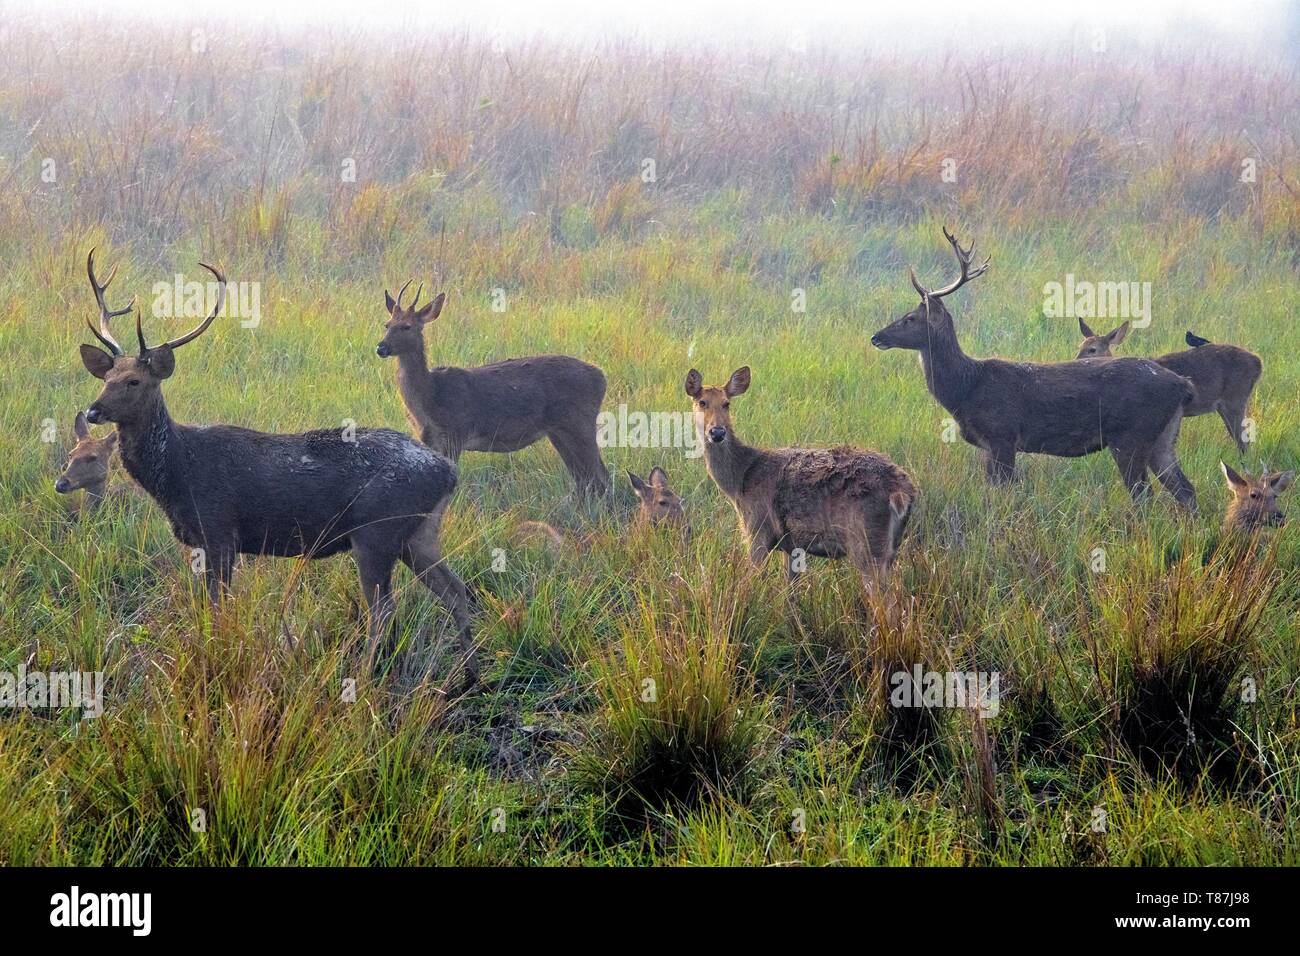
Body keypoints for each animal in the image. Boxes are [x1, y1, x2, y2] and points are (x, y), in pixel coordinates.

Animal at [377, 282, 608, 494]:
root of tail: (601, 378)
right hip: (559, 430)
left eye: (406, 326)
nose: (381, 347)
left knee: (600, 475)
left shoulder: (455, 432)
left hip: (579, 423)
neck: (430, 396)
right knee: (584, 478)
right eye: (387, 324)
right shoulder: (429, 440)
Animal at [873, 228, 1196, 512]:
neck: (965, 388)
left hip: (1131, 435)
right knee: (1186, 490)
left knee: (1145, 495)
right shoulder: (989, 446)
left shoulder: (1003, 435)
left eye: (910, 318)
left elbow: (1002, 492)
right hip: (1164, 438)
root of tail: (1183, 384)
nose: (876, 336)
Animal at [1071, 321, 1263, 455]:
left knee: (1243, 442)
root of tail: (1258, 363)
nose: (1075, 361)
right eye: (1080, 346)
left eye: (1092, 349)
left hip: (1235, 399)